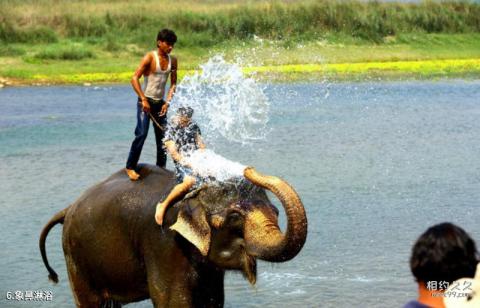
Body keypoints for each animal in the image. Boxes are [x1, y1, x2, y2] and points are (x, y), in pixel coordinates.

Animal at [39, 164, 306, 306]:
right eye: (234, 217)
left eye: (275, 212)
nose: (249, 169)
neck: (192, 196)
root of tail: (68, 208)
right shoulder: (164, 246)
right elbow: (174, 302)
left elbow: (213, 300)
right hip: (76, 257)